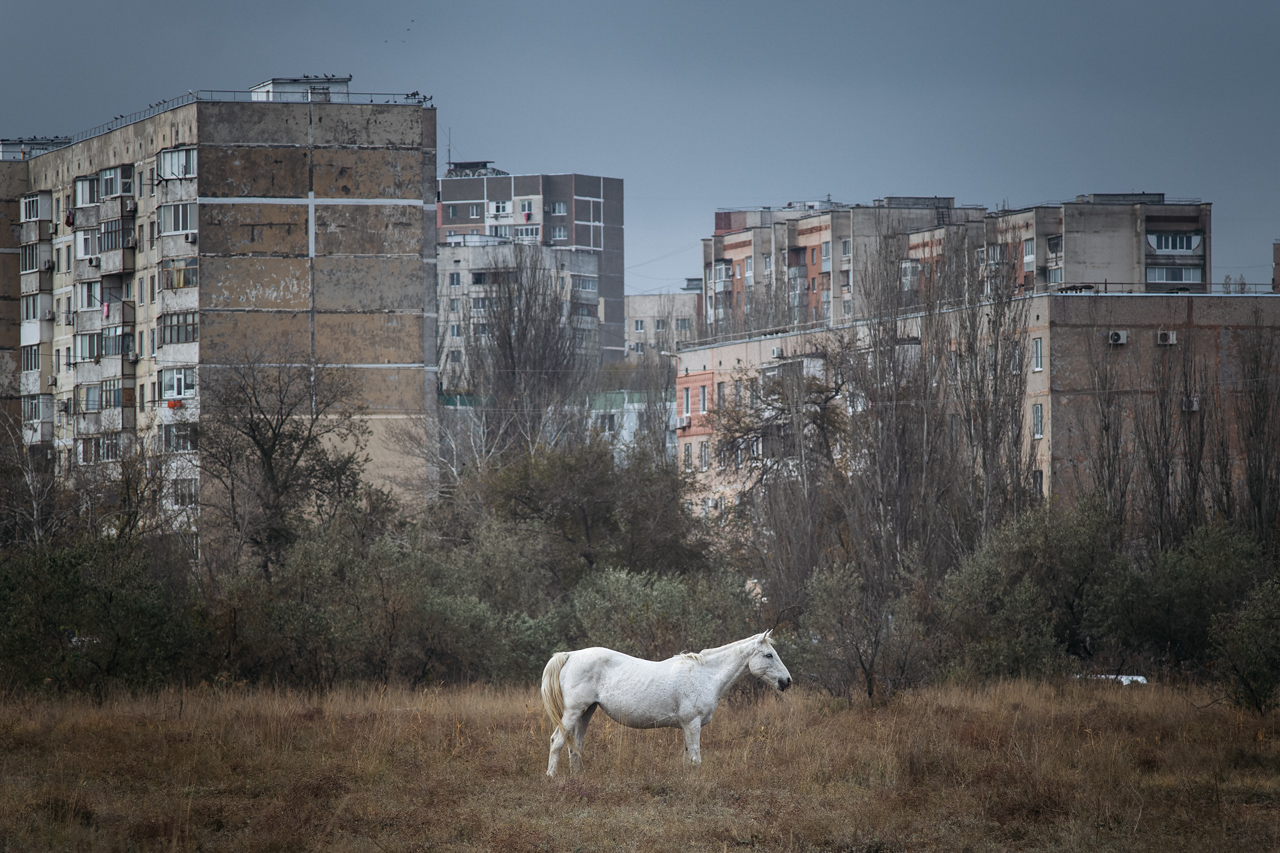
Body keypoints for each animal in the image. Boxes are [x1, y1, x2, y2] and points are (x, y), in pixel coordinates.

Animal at [540, 630, 792, 777]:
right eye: (769, 655)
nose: (786, 681)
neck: (705, 675)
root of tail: (571, 655)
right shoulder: (692, 724)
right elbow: (696, 760)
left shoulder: (687, 727)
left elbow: (688, 758)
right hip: (573, 712)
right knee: (557, 742)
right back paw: (552, 777)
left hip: (586, 712)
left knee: (575, 746)